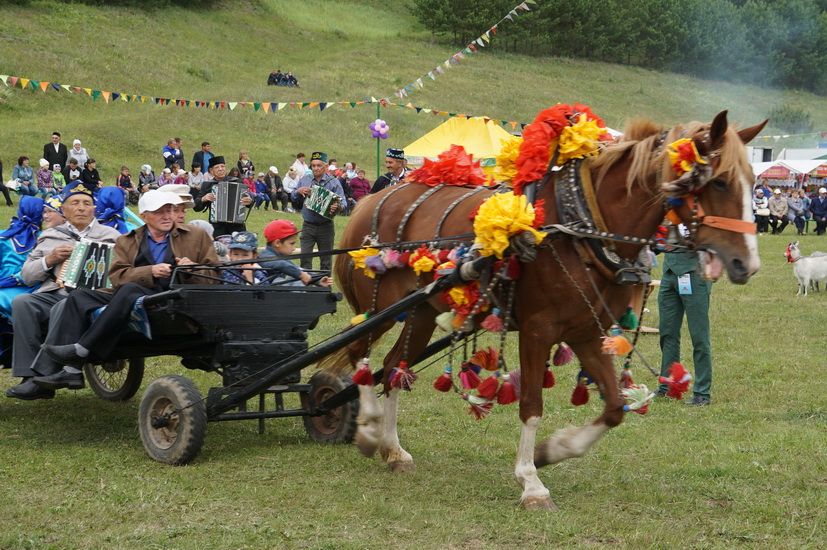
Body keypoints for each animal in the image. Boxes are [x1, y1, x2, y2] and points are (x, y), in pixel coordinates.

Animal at [328, 112, 764, 512]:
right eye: (719, 181)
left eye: (752, 182)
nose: (747, 264)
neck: (581, 226)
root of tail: (370, 201)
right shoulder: (537, 330)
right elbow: (532, 406)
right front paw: (531, 482)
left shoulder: (587, 333)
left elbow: (614, 408)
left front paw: (554, 450)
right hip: (381, 308)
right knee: (360, 354)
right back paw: (368, 430)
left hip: (419, 313)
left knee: (393, 367)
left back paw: (393, 449)